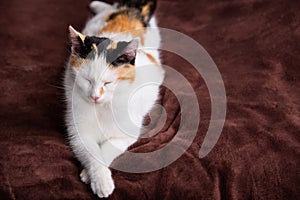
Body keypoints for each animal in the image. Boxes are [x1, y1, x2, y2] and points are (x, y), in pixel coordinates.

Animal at [63, 0, 165, 197]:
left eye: (108, 82)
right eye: (87, 80)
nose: (95, 96)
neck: (102, 108)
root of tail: (130, 11)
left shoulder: (127, 133)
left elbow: (107, 149)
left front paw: (92, 177)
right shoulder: (79, 132)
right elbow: (92, 153)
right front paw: (99, 179)